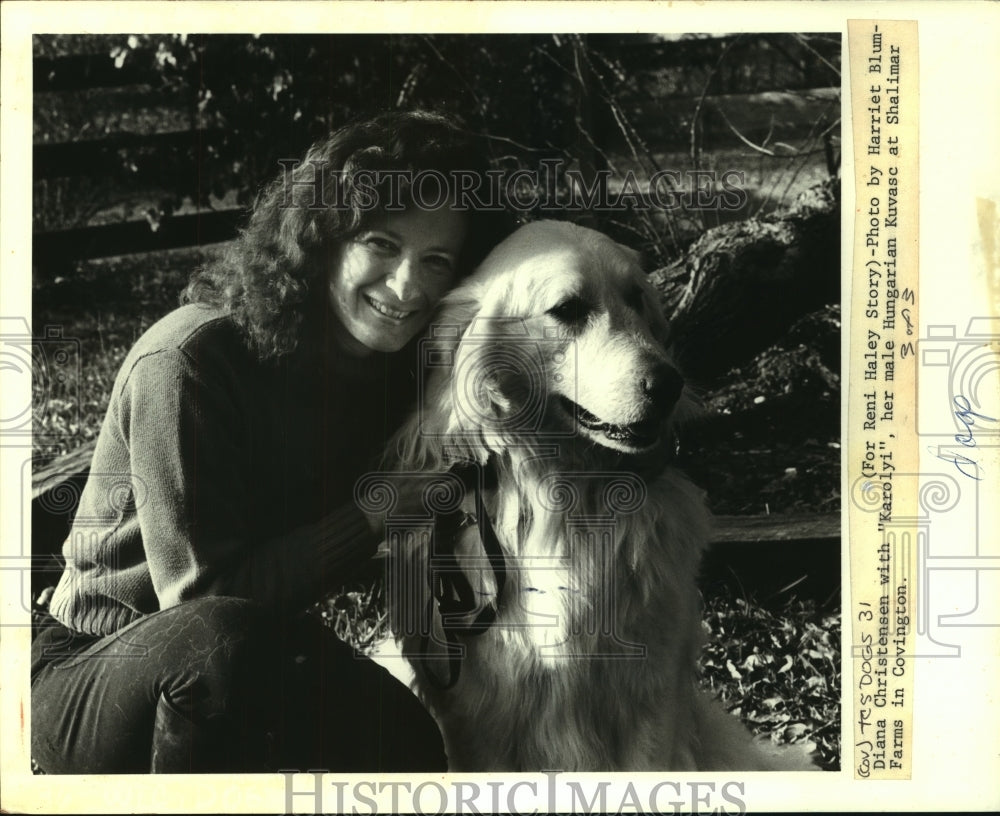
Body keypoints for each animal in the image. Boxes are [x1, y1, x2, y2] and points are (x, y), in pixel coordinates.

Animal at [380, 218, 812, 772]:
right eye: (568, 309)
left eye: (637, 299)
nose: (670, 384)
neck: (563, 494)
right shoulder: (474, 715)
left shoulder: (650, 697)